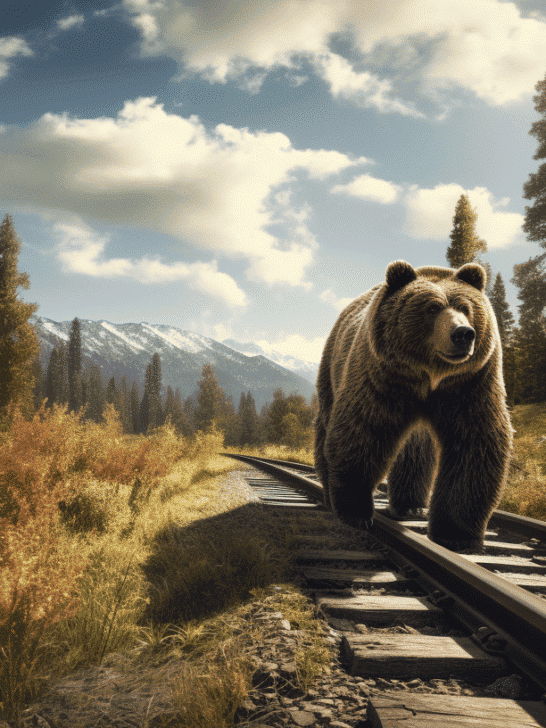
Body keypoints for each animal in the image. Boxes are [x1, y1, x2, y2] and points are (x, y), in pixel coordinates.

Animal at [314, 260, 513, 552]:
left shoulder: (471, 383)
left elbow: (475, 444)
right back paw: (329, 494)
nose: (463, 334)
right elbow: (362, 432)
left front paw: (457, 535)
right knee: (328, 423)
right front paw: (356, 512)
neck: (430, 377)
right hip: (332, 366)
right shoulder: (382, 375)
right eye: (432, 307)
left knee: (415, 450)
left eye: (466, 307)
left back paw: (411, 507)